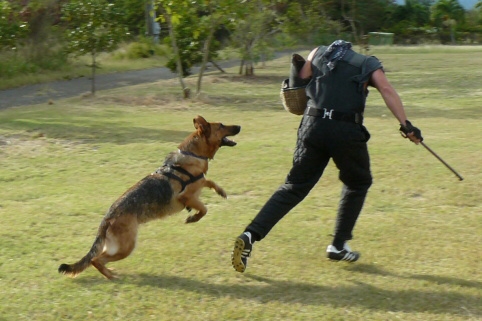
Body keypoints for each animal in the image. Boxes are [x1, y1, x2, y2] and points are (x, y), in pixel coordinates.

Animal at [58, 115, 241, 278]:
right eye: (222, 125)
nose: (239, 126)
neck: (193, 154)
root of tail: (107, 218)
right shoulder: (188, 197)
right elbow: (204, 209)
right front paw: (192, 218)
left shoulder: (199, 185)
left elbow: (209, 181)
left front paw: (221, 191)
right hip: (126, 246)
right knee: (95, 260)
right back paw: (112, 276)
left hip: (118, 247)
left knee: (98, 259)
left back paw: (110, 273)